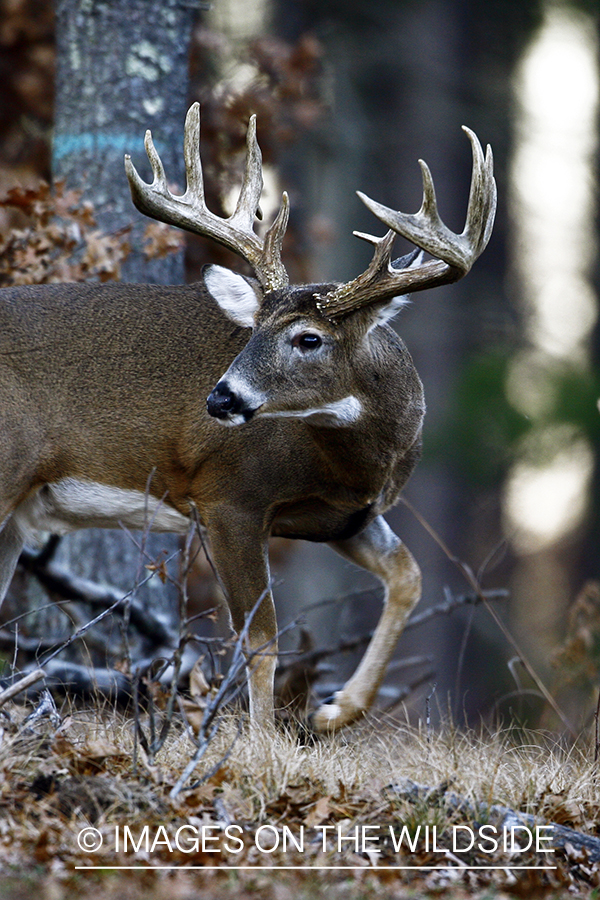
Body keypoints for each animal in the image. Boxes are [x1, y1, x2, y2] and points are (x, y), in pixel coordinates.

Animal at [0, 102, 496, 732]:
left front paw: (336, 709)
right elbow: (260, 640)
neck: (358, 466)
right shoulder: (227, 498)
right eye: (253, 328)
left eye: (309, 338)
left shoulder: (342, 518)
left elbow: (409, 577)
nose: (221, 400)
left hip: (16, 516)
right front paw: (262, 742)